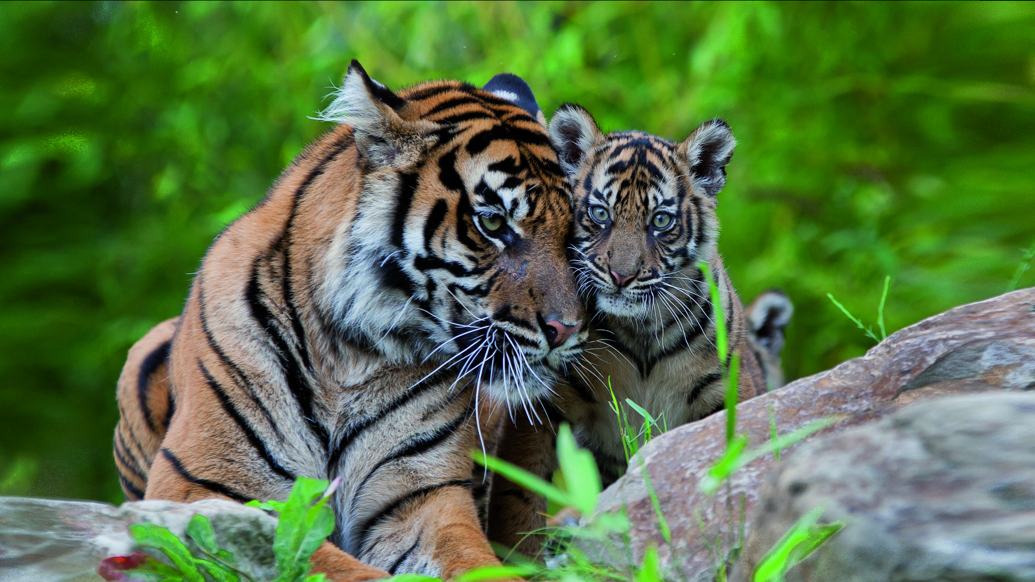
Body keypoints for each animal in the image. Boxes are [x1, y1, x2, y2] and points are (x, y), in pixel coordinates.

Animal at [112, 62, 588, 581]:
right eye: (494, 223)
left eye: (573, 231)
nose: (568, 329)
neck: (350, 357)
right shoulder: (204, 486)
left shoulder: (421, 497)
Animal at [487, 104, 793, 558]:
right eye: (600, 214)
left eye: (661, 221)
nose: (621, 276)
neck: (640, 331)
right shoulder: (543, 405)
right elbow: (519, 500)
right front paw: (515, 560)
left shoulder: (725, 396)